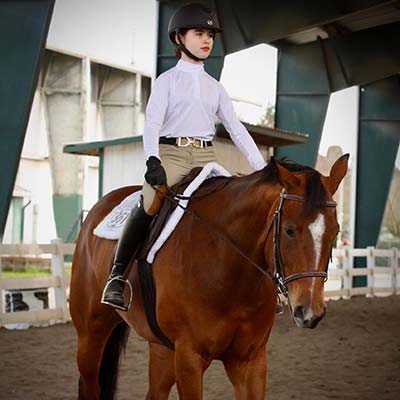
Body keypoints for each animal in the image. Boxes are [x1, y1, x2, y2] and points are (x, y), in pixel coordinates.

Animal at [70, 155, 348, 398]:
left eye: (335, 232)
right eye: (289, 230)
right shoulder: (189, 359)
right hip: (90, 335)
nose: (310, 312)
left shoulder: (250, 361)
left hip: (162, 348)